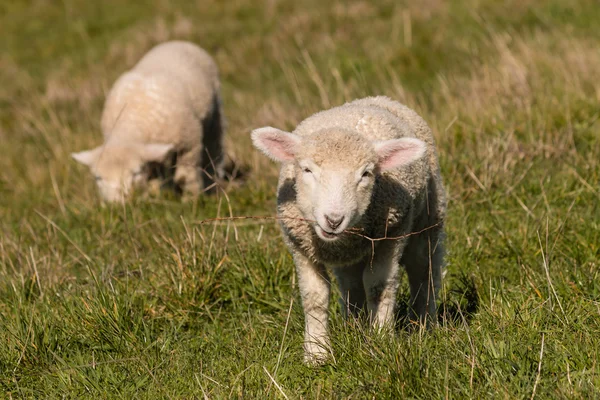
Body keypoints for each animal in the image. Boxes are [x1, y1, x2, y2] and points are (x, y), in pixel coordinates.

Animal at [72, 39, 225, 203]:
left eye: (135, 173)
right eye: (98, 178)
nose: (117, 204)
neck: (131, 124)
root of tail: (176, 41)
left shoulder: (189, 144)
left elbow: (186, 175)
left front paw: (192, 199)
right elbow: (154, 177)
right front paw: (154, 195)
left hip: (214, 115)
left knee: (213, 150)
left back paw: (211, 184)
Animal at [250, 95, 446, 364]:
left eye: (366, 174)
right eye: (307, 170)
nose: (333, 220)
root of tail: (377, 97)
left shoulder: (391, 237)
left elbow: (379, 287)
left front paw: (380, 340)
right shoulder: (300, 245)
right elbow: (314, 296)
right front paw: (317, 353)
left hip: (426, 222)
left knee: (424, 272)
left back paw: (423, 324)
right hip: (350, 257)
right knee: (352, 284)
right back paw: (353, 324)